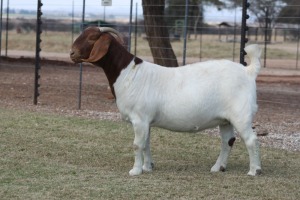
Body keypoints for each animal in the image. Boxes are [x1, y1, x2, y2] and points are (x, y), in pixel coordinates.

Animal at [70, 26, 262, 175]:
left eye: (92, 37)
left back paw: (254, 170)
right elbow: (146, 144)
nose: (72, 53)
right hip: (225, 120)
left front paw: (135, 170)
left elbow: (137, 145)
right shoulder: (146, 121)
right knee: (228, 141)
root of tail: (248, 71)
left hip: (241, 115)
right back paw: (218, 167)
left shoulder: (139, 119)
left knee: (251, 139)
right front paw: (147, 167)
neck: (129, 72)